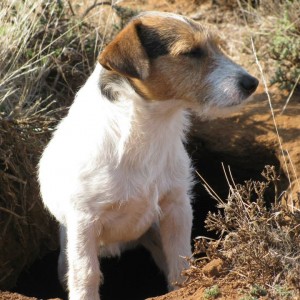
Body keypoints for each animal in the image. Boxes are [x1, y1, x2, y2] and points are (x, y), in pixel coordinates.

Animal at [37, 11, 258, 300]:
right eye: (190, 52)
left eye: (218, 46)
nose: (253, 83)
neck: (150, 128)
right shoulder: (84, 221)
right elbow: (86, 274)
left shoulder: (176, 206)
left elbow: (180, 260)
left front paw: (183, 288)